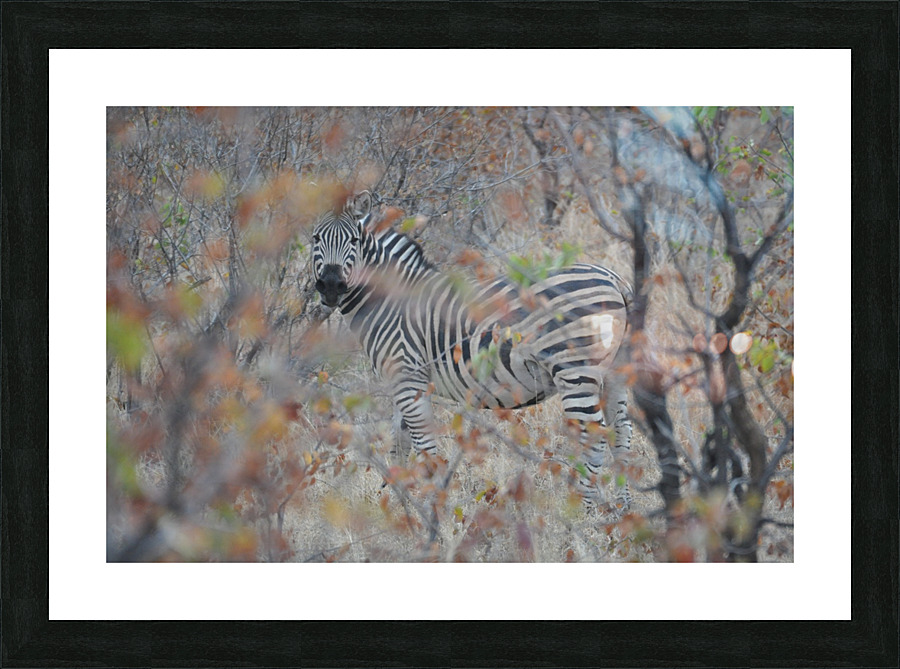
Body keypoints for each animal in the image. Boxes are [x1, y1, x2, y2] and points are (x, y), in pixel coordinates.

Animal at [311, 192, 634, 508]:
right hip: (614, 371)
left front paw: (435, 510)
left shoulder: (407, 376)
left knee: (595, 440)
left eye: (354, 241)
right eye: (315, 238)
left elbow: (425, 449)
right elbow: (398, 447)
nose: (331, 286)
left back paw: (581, 512)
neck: (387, 299)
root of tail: (614, 279)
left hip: (575, 371)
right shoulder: (402, 380)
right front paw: (400, 509)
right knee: (621, 432)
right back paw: (623, 511)